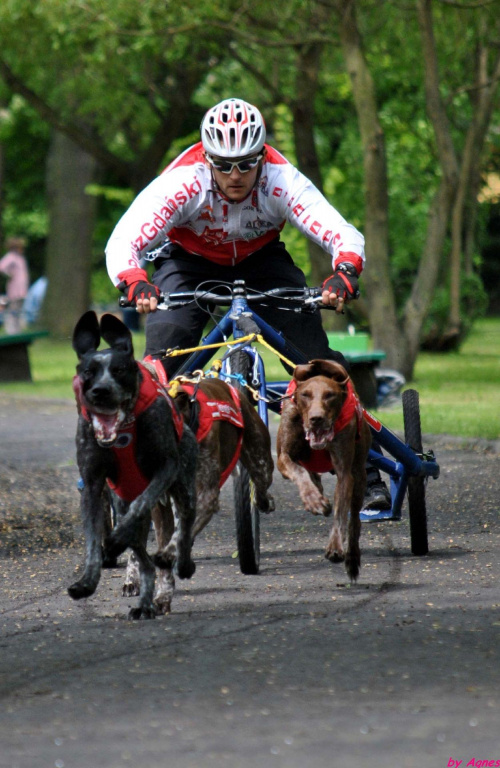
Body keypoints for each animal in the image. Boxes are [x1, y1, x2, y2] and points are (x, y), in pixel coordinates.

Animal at [69, 310, 198, 616]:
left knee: (184, 525)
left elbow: (140, 506)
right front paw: (87, 581)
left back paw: (183, 564)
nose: (100, 391)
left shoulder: (165, 469)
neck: (123, 433)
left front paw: (115, 541)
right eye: (88, 372)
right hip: (122, 500)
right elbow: (92, 541)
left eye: (119, 370)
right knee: (146, 562)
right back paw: (145, 603)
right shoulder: (92, 486)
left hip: (184, 489)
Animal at [278, 362, 372, 584]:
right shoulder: (283, 457)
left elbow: (341, 514)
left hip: (359, 475)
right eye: (305, 395)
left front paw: (336, 547)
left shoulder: (345, 472)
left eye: (330, 395)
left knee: (354, 520)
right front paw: (313, 499)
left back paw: (352, 558)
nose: (316, 419)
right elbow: (299, 472)